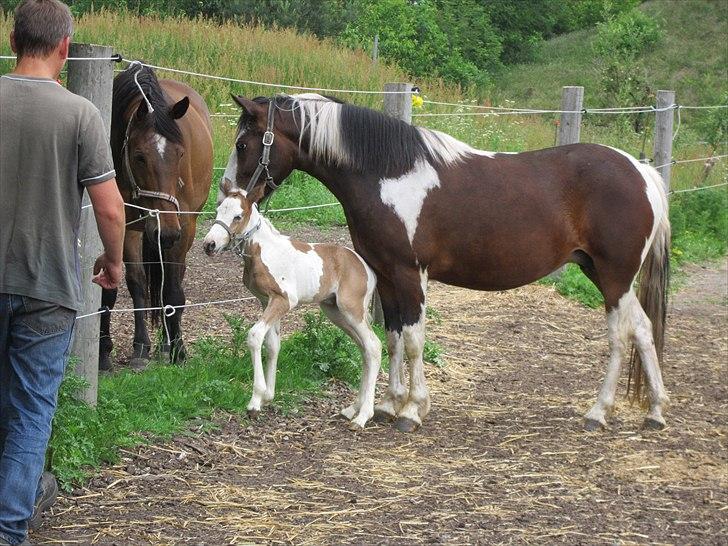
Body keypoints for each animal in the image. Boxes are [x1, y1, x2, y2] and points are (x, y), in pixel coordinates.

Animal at [99, 65, 213, 370]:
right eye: (140, 156)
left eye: (180, 153)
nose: (167, 231)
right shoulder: (126, 225)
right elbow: (125, 284)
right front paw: (109, 350)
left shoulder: (182, 226)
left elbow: (172, 290)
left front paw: (178, 350)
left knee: (171, 282)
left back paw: (166, 343)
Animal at [199, 178, 382, 424]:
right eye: (218, 211)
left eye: (238, 216)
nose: (209, 245)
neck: (264, 251)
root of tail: (366, 268)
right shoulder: (266, 301)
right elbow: (272, 344)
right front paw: (268, 395)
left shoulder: (283, 300)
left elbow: (255, 336)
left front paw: (255, 400)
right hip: (335, 311)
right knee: (364, 349)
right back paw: (353, 408)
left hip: (352, 310)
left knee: (373, 345)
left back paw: (362, 416)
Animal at [223, 93, 672, 432]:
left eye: (243, 144)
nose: (229, 191)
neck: (389, 174)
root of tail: (642, 172)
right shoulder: (387, 275)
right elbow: (392, 338)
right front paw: (388, 404)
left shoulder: (410, 273)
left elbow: (414, 340)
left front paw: (411, 411)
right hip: (604, 274)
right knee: (644, 329)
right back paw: (654, 411)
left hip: (614, 276)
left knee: (621, 336)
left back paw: (599, 412)